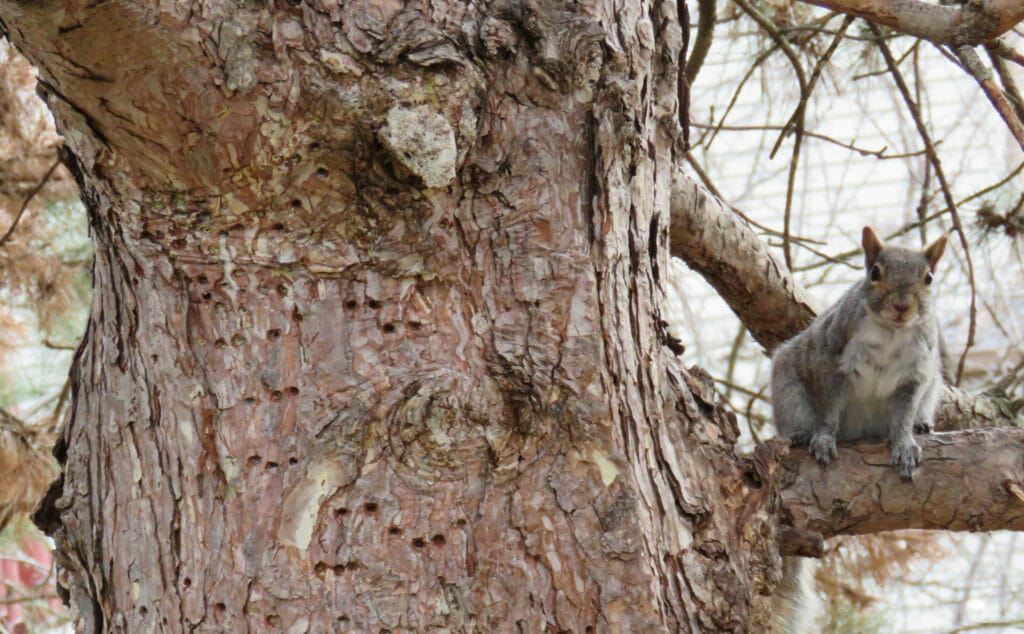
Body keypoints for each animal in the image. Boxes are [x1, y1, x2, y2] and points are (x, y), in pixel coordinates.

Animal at [771, 226, 950, 480]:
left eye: (929, 278)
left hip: (931, 387)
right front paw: (824, 439)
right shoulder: (831, 351)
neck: (890, 331)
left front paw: (905, 445)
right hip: (789, 391)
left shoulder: (916, 374)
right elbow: (828, 410)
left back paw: (921, 424)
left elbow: (904, 418)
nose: (902, 306)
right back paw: (801, 434)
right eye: (875, 273)